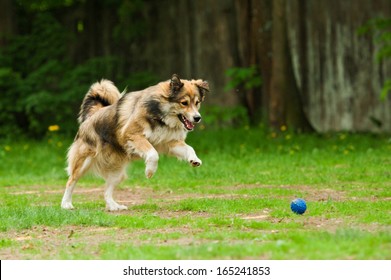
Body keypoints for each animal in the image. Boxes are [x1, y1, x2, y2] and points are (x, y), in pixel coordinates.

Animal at [60, 74, 208, 210]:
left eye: (197, 102)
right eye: (184, 103)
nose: (197, 118)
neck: (160, 114)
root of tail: (92, 116)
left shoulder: (171, 143)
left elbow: (189, 148)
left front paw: (194, 160)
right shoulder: (132, 135)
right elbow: (153, 154)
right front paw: (150, 170)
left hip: (117, 172)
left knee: (107, 191)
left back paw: (114, 206)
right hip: (83, 162)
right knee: (71, 181)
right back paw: (66, 204)